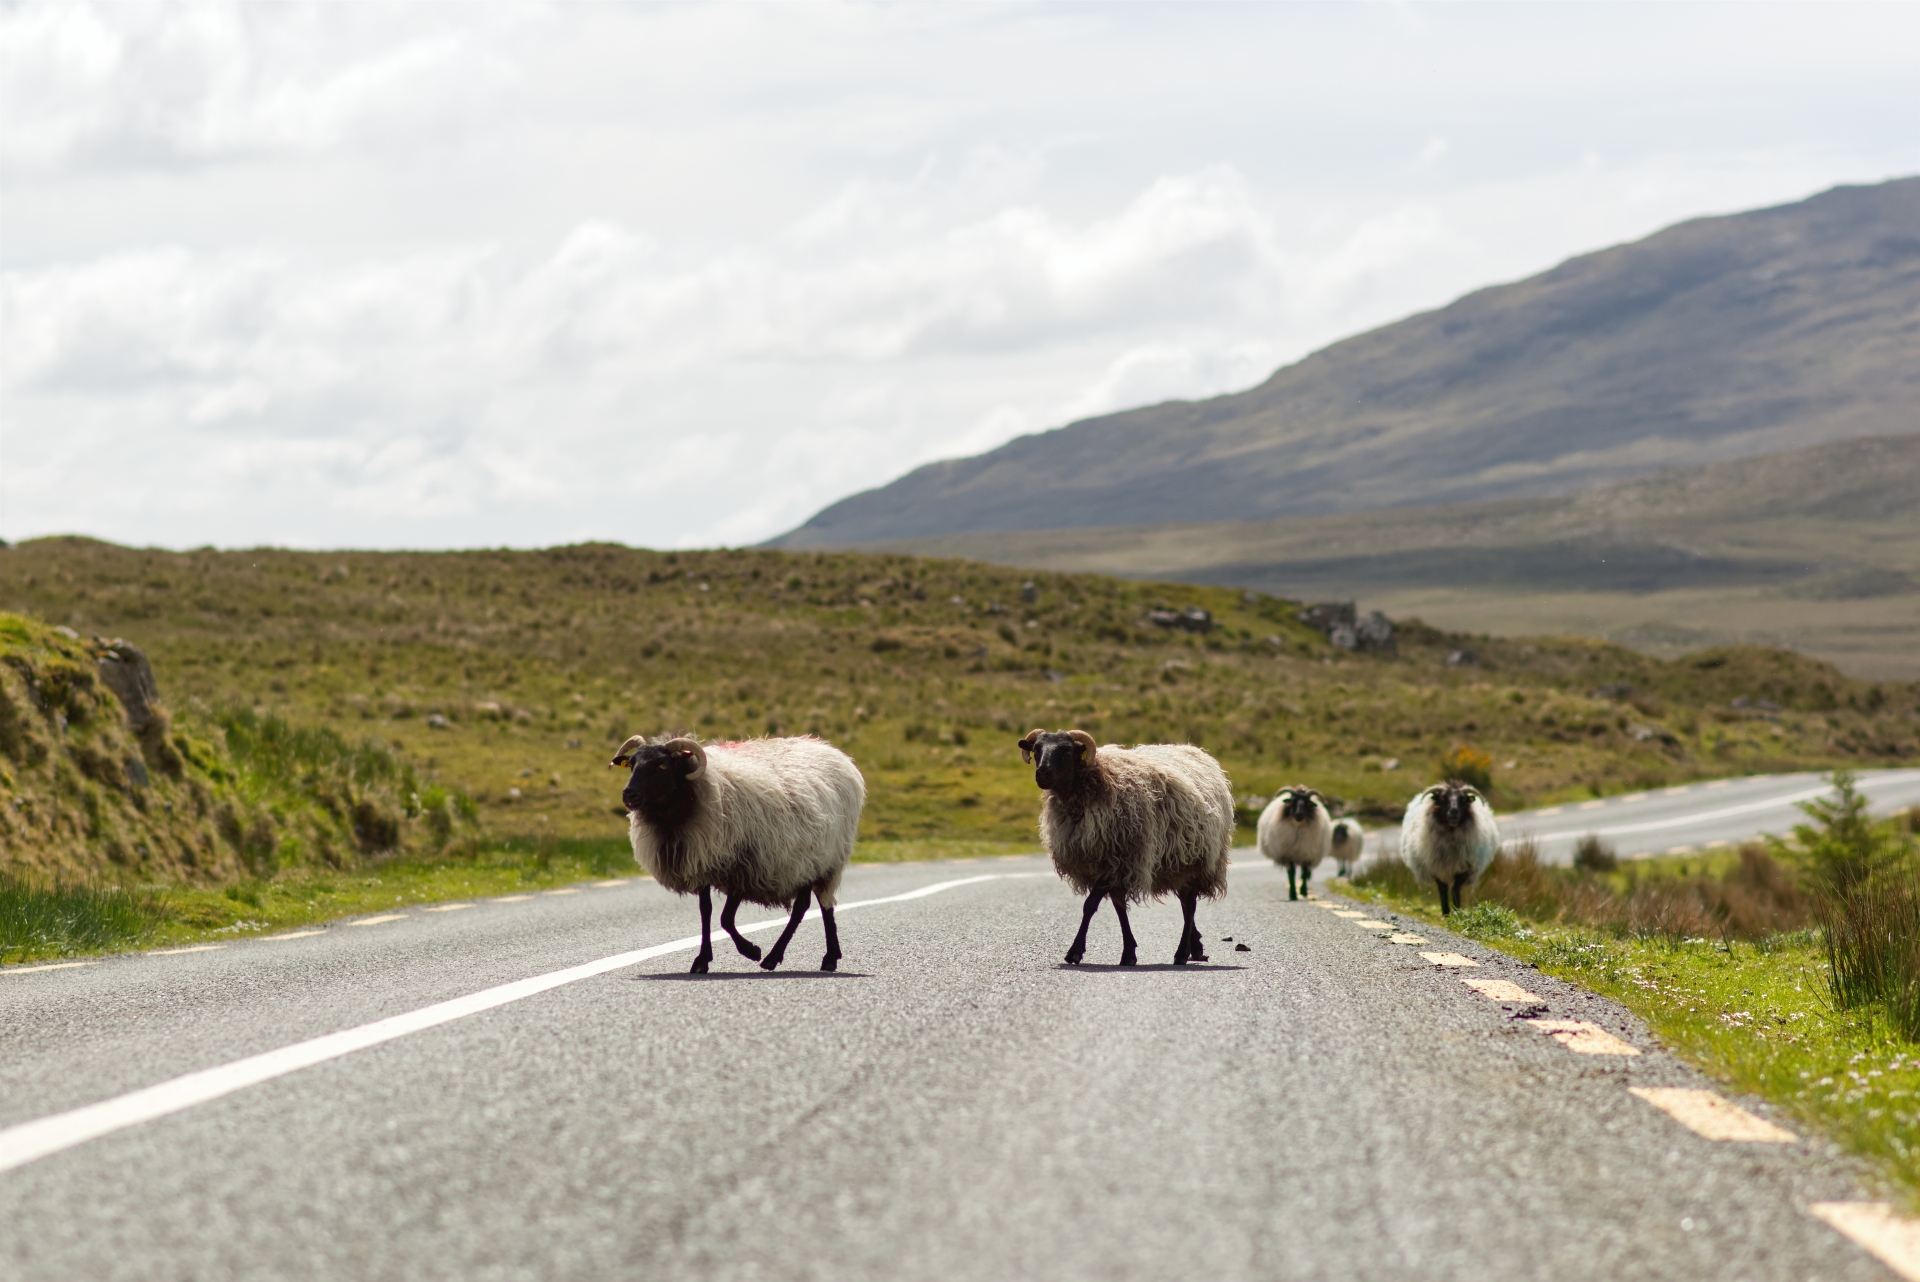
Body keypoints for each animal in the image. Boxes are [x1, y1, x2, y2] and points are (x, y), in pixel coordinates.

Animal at [612, 733, 865, 973]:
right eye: (632, 764)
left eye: (662, 766)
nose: (629, 795)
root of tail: (834, 753)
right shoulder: (702, 862)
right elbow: (706, 912)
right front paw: (702, 960)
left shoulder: (741, 863)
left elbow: (725, 919)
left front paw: (751, 951)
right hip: (806, 863)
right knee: (811, 904)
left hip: (824, 859)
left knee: (813, 906)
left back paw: (793, 958)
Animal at [1016, 729, 1233, 967]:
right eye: (1036, 749)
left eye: (1066, 750)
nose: (1042, 774)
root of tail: (1196, 751)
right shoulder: (1110, 866)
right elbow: (1119, 909)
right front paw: (1129, 952)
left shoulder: (1116, 862)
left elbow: (1089, 906)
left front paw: (1075, 951)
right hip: (1178, 862)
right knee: (1186, 906)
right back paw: (1195, 947)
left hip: (1198, 860)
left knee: (1190, 906)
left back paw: (1181, 953)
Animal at [1400, 780, 1500, 917]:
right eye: (1442, 798)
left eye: (1463, 799)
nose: (1454, 811)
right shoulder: (1436, 867)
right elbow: (1443, 888)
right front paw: (1446, 913)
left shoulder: (1464, 867)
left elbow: (1455, 888)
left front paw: (1457, 911)